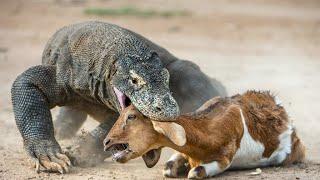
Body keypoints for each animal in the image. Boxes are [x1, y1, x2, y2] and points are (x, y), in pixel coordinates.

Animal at [103, 91, 304, 179]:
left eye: (131, 116)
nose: (106, 142)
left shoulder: (224, 158)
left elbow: (196, 172)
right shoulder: (182, 151)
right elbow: (168, 167)